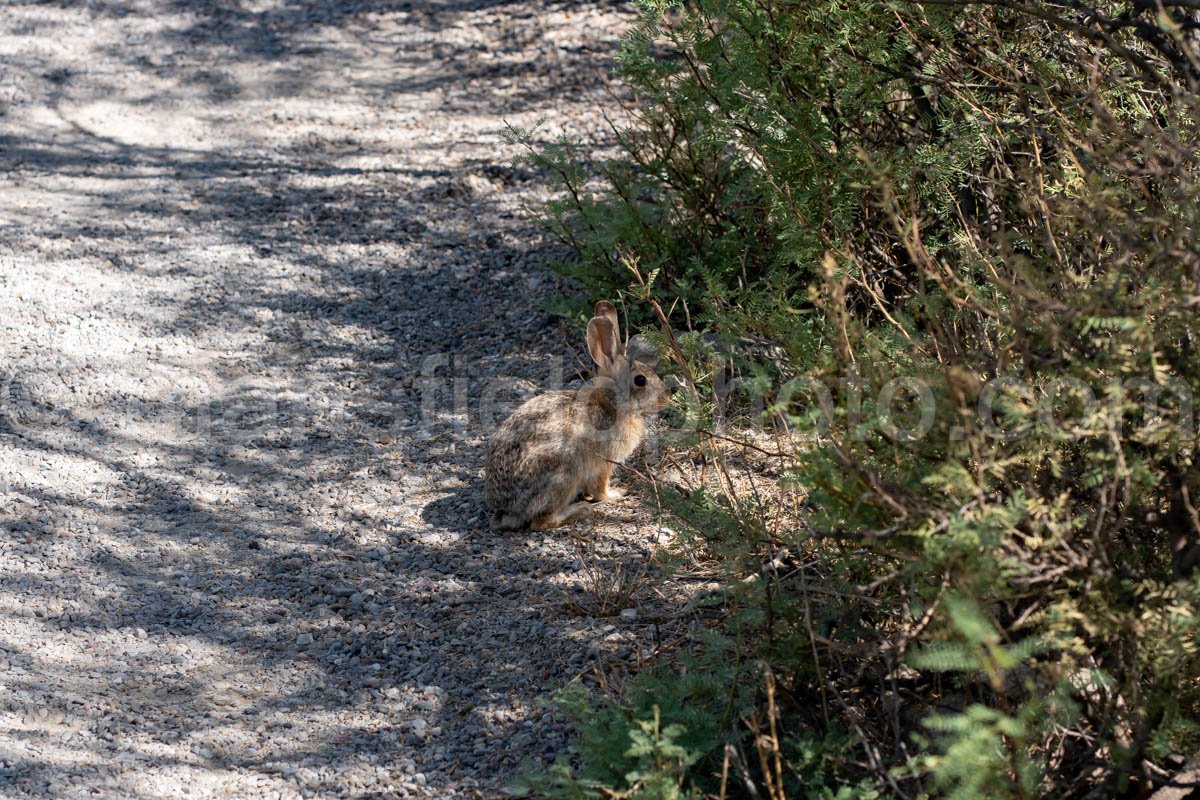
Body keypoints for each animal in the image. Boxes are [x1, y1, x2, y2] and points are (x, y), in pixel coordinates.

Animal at [487, 299, 676, 532]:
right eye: (640, 380)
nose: (667, 397)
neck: (611, 404)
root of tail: (506, 510)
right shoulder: (605, 462)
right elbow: (600, 487)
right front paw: (614, 495)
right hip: (563, 477)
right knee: (541, 522)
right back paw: (579, 510)